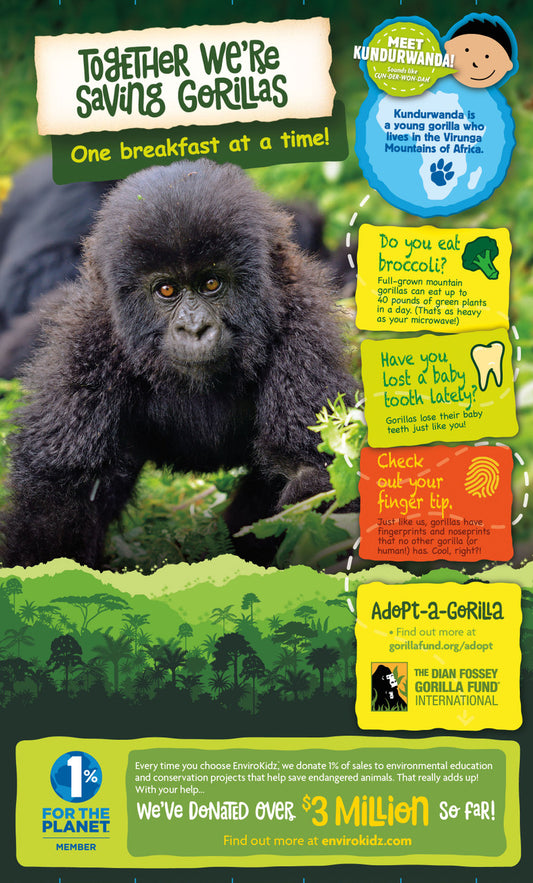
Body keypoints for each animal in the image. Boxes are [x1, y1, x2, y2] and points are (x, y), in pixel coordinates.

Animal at [0, 159, 355, 569]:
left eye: (212, 284)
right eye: (166, 289)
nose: (194, 329)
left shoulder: (301, 330)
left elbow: (312, 473)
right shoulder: (87, 346)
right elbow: (60, 501)